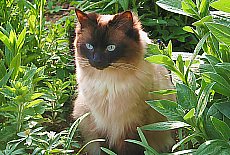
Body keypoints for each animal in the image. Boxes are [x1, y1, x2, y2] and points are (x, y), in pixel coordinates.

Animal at [73, 10, 175, 155]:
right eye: (89, 46)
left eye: (111, 47)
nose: (97, 61)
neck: (109, 84)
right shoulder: (101, 123)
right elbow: (104, 148)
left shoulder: (132, 124)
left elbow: (130, 148)